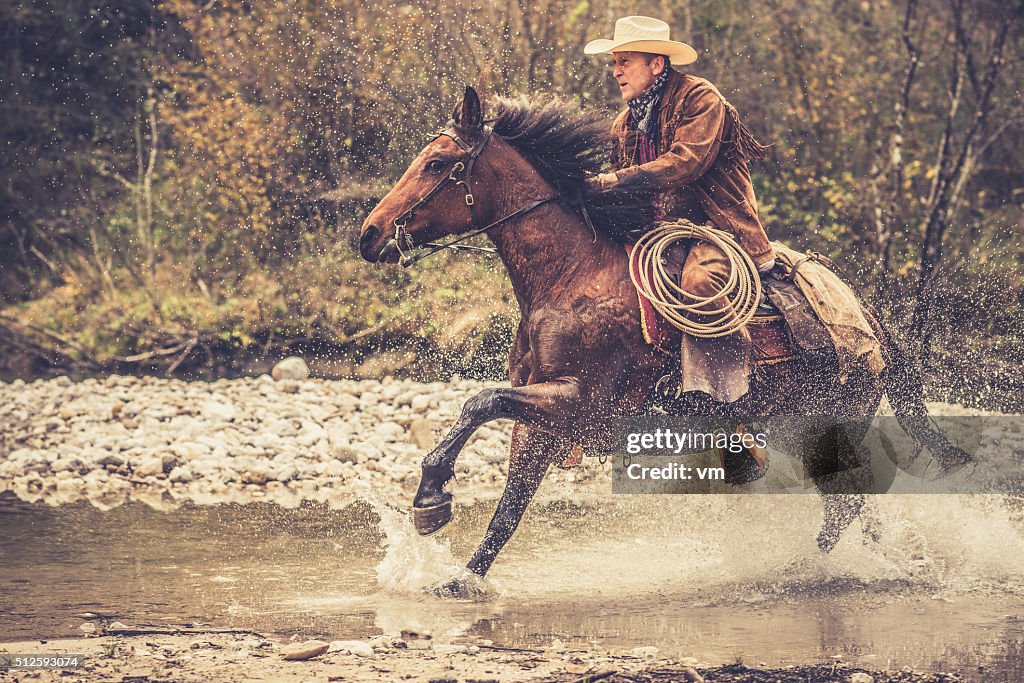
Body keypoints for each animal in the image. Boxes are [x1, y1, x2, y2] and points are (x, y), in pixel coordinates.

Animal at [358, 85, 966, 598]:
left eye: (437, 164)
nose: (369, 235)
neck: (569, 276)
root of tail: (873, 322)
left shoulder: (579, 403)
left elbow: (479, 402)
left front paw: (430, 500)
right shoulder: (543, 418)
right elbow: (510, 503)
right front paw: (462, 579)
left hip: (829, 428)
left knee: (847, 506)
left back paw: (808, 571)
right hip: (799, 431)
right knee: (856, 506)